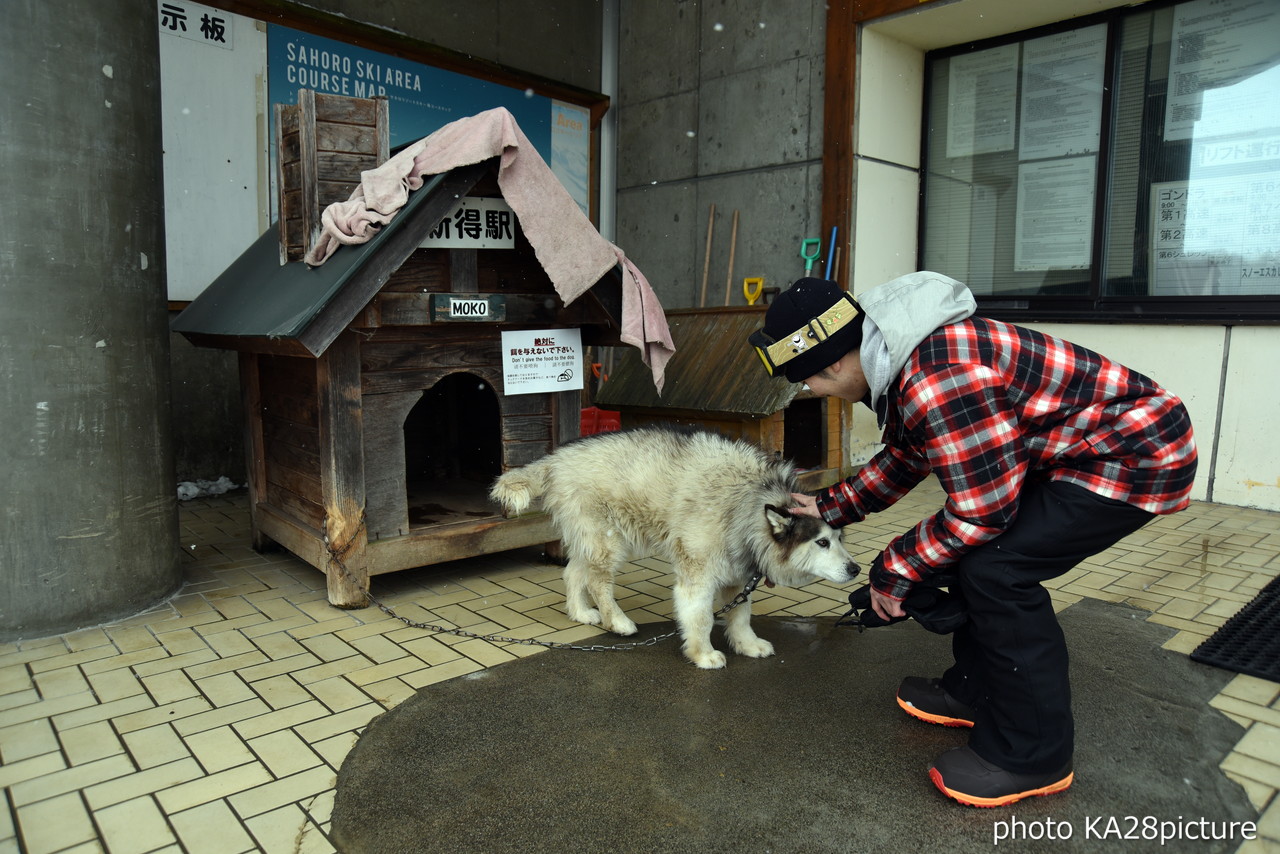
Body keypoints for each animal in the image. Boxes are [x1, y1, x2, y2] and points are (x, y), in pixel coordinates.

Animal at [488, 427, 860, 665]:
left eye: (840, 539)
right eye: (822, 542)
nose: (856, 568)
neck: (748, 504)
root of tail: (555, 458)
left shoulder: (738, 575)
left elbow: (740, 616)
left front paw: (747, 644)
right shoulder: (697, 577)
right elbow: (701, 619)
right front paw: (702, 654)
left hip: (595, 540)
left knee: (574, 573)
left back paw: (580, 612)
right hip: (609, 542)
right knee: (597, 581)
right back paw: (617, 621)